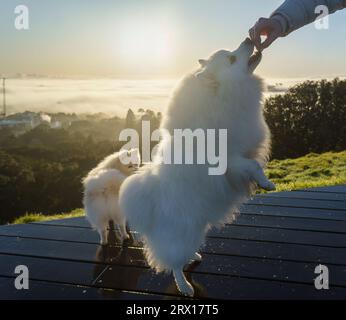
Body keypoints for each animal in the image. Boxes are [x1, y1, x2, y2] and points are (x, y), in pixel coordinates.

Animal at [119, 38, 276, 298]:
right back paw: (185, 286)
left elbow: (254, 164)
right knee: (173, 263)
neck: (222, 97)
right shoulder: (230, 159)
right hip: (184, 233)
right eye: (232, 58)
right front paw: (266, 183)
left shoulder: (244, 151)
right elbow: (252, 165)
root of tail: (149, 206)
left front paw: (264, 181)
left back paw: (193, 256)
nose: (248, 39)